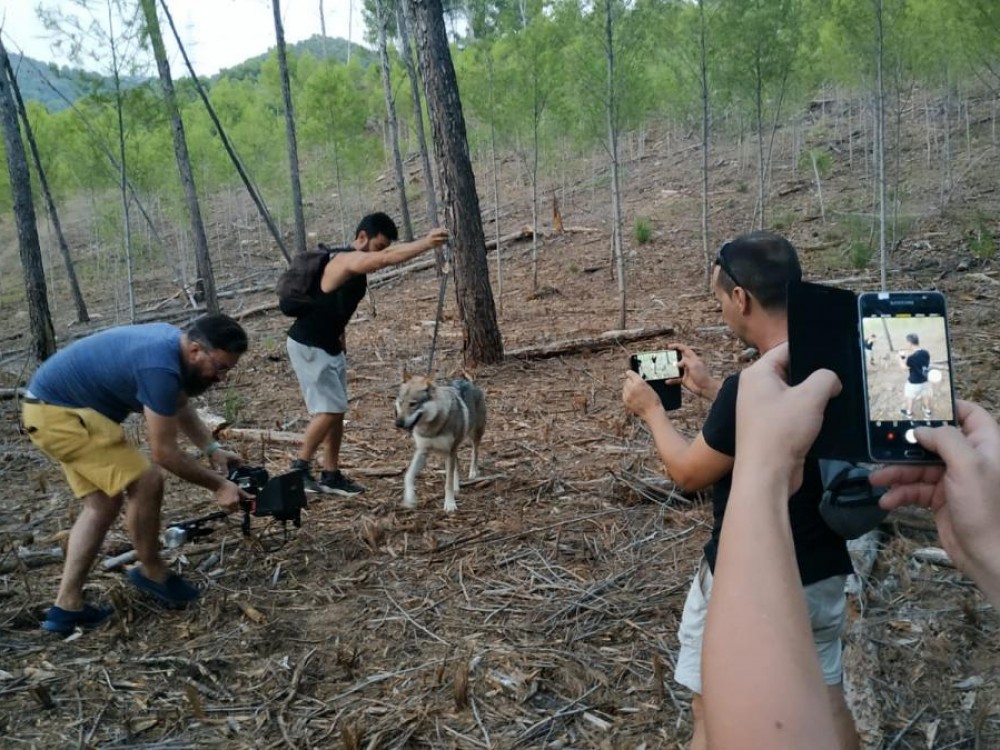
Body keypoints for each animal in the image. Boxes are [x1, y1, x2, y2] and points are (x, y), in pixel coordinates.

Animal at [394, 372, 486, 513]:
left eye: (413, 404)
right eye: (400, 402)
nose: (398, 423)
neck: (431, 427)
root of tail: (468, 382)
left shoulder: (449, 451)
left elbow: (447, 483)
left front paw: (450, 504)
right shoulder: (422, 451)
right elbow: (408, 476)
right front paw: (410, 499)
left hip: (473, 436)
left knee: (474, 453)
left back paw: (473, 472)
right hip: (454, 449)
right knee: (456, 465)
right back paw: (457, 486)